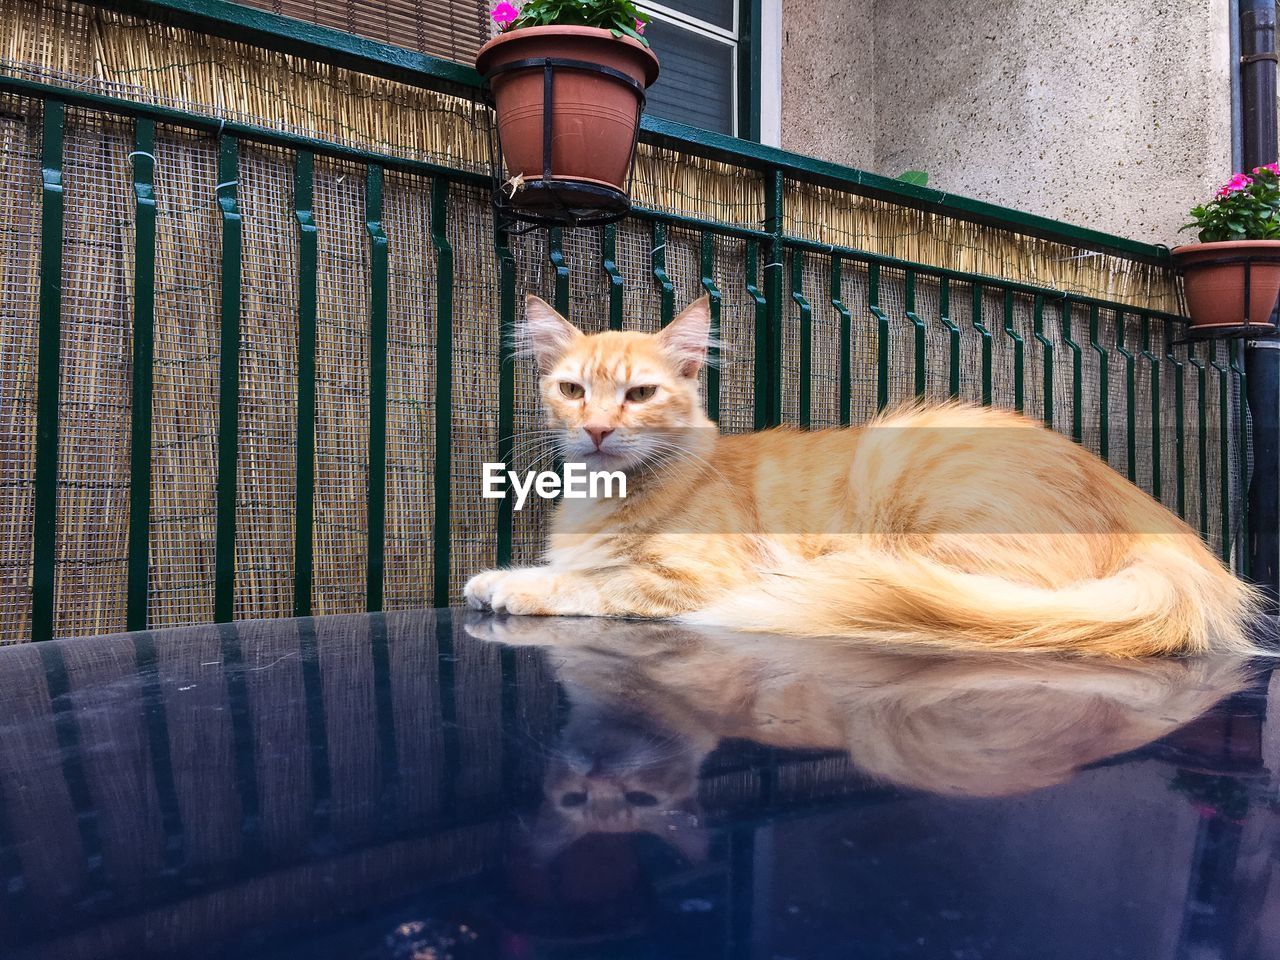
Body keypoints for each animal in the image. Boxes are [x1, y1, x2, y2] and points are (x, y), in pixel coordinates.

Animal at [465, 293, 1264, 660]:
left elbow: (593, 583)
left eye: (639, 394)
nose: (599, 430)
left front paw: (512, 585)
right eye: (573, 391)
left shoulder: (695, 578)